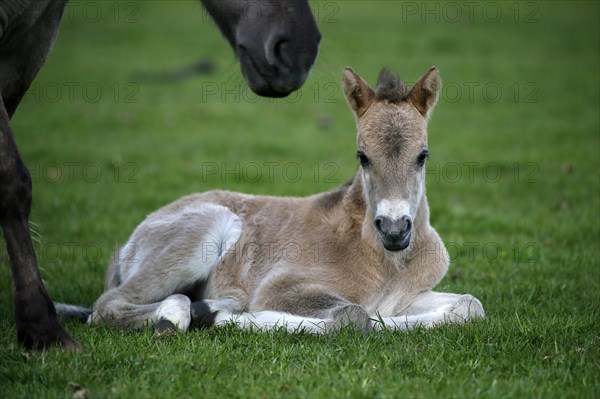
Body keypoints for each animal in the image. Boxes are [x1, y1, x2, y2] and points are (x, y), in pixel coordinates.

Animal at [63, 67, 486, 332]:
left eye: (422, 155)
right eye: (362, 156)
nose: (395, 229)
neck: (386, 261)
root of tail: (132, 240)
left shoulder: (406, 295)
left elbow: (470, 305)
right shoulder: (280, 288)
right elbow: (356, 316)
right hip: (202, 233)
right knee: (109, 306)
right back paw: (189, 314)